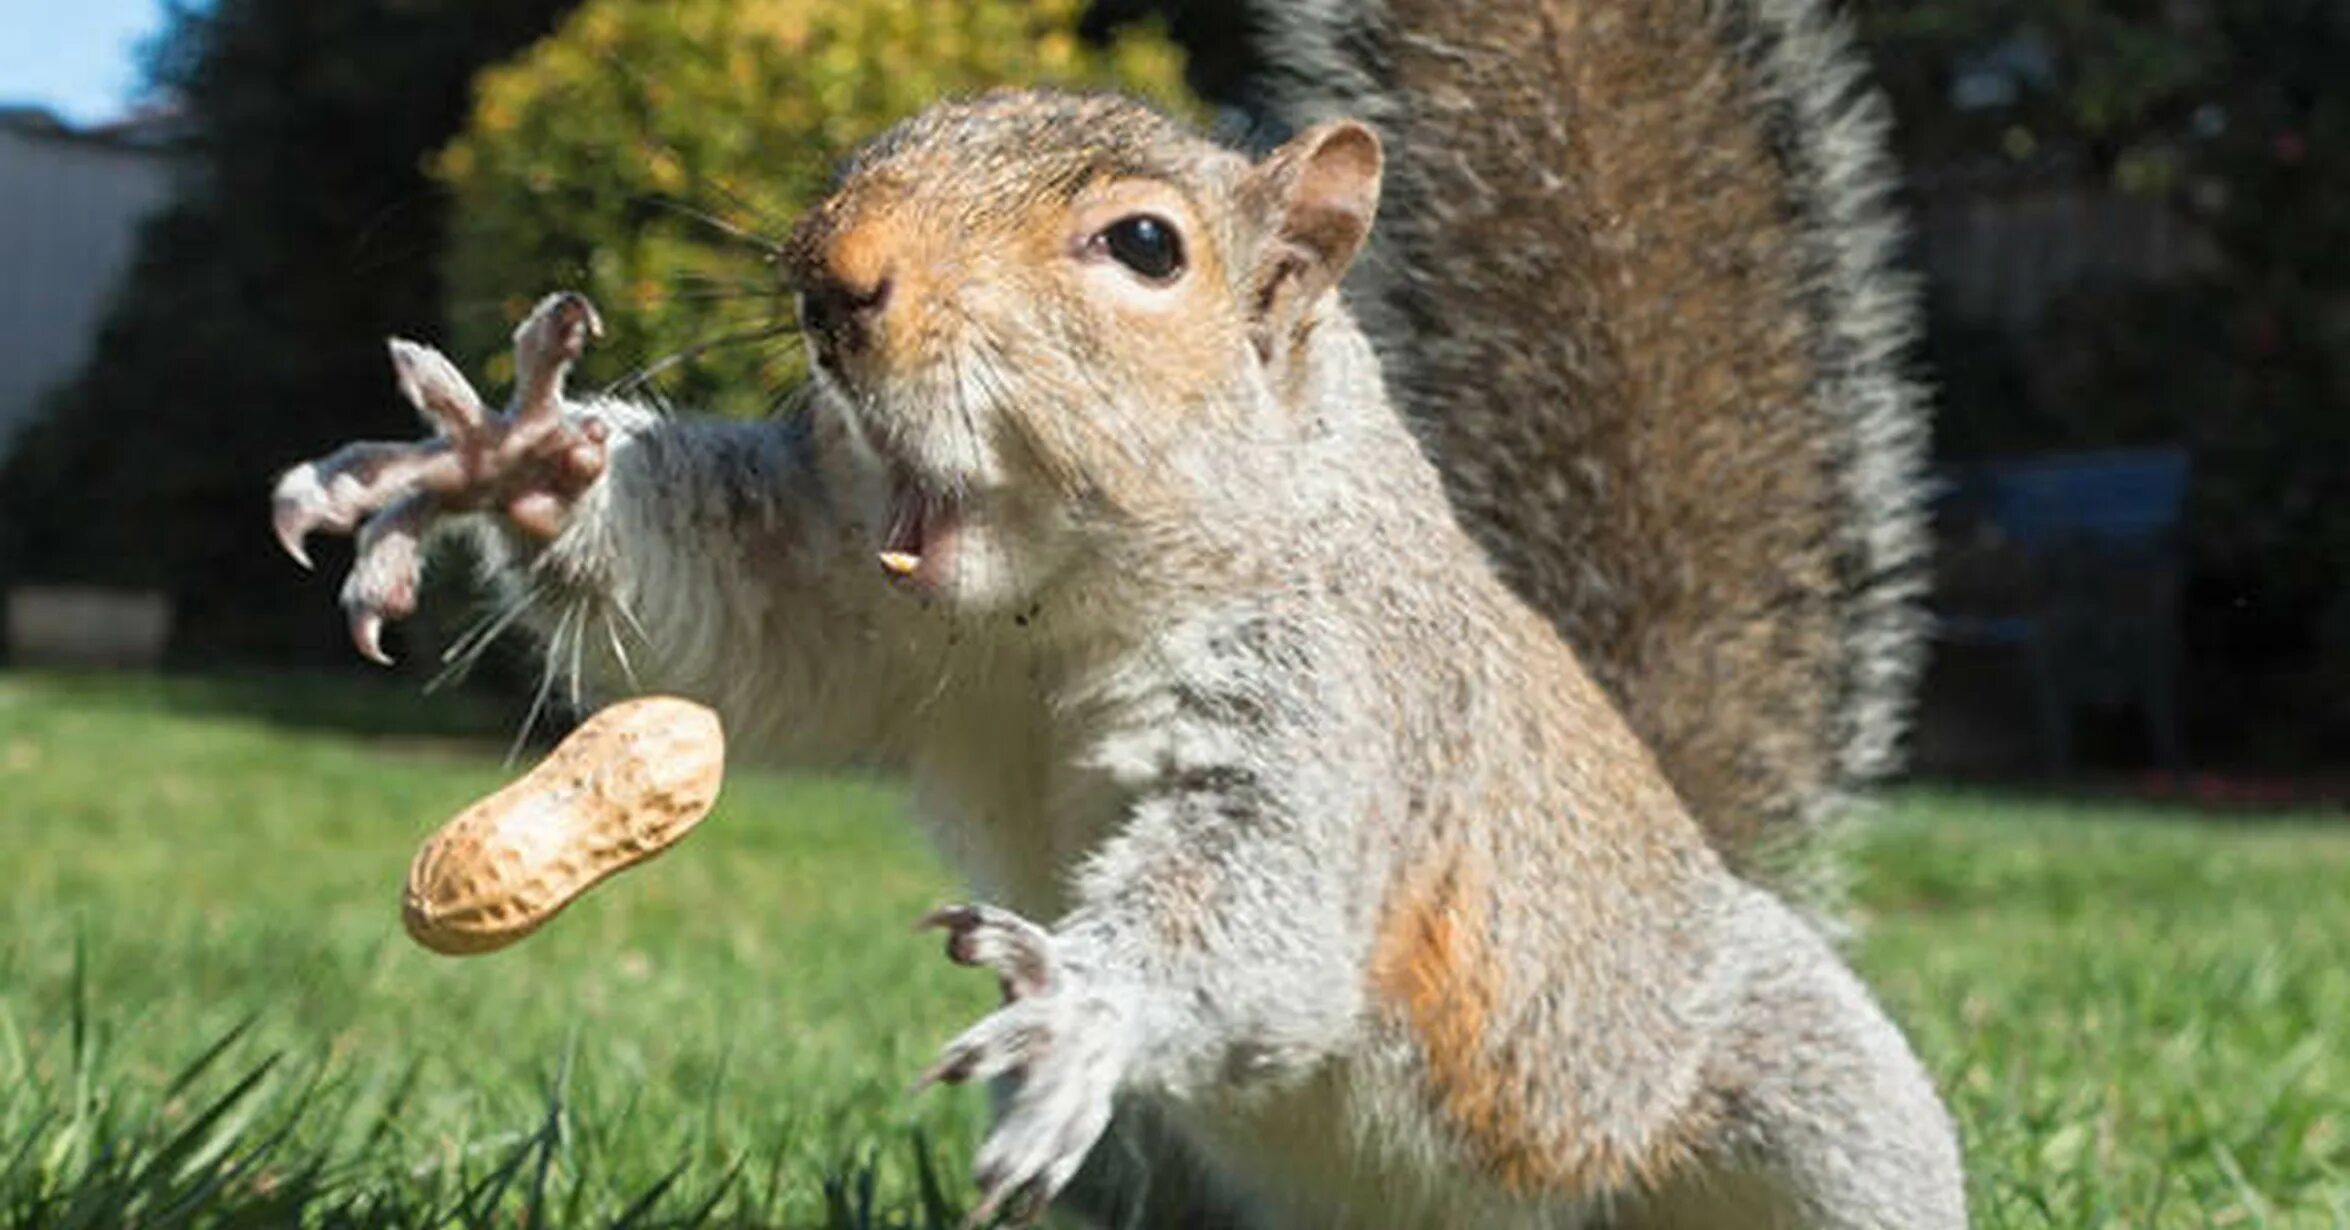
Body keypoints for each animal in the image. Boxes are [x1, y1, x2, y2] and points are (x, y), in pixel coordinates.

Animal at [270, 0, 1964, 1222]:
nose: (830, 277)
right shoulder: (835, 595)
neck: (1050, 608)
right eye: (876, 145)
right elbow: (720, 624)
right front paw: (507, 459)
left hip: (1792, 1097)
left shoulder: (1344, 709)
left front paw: (1084, 997)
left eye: (1144, 246)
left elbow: (1265, 904)